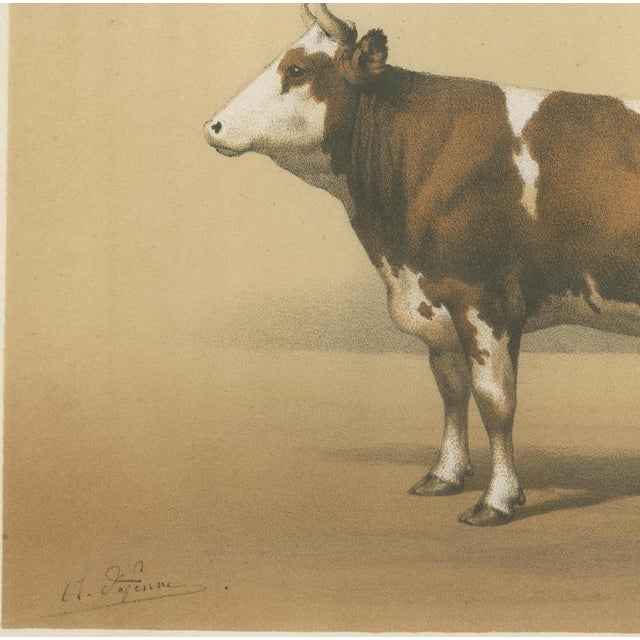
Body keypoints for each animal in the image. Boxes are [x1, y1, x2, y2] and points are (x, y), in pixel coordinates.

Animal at [204, 4, 640, 526]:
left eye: (297, 70)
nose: (213, 126)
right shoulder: (436, 299)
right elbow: (452, 391)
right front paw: (444, 475)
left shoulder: (486, 298)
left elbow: (495, 401)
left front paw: (497, 500)